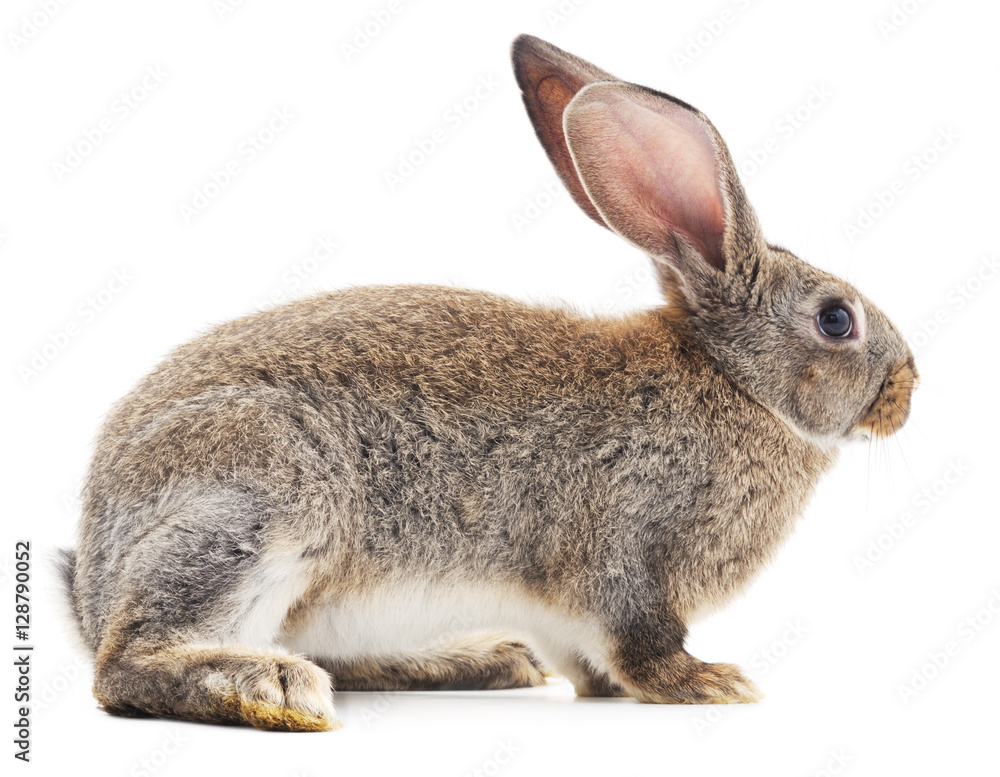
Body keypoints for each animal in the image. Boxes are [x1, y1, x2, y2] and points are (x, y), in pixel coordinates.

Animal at [58, 34, 917, 731]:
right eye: (837, 320)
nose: (909, 390)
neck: (735, 380)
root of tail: (92, 582)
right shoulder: (628, 548)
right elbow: (641, 636)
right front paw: (709, 683)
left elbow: (589, 659)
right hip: (260, 500)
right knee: (125, 665)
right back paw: (271, 687)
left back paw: (477, 660)